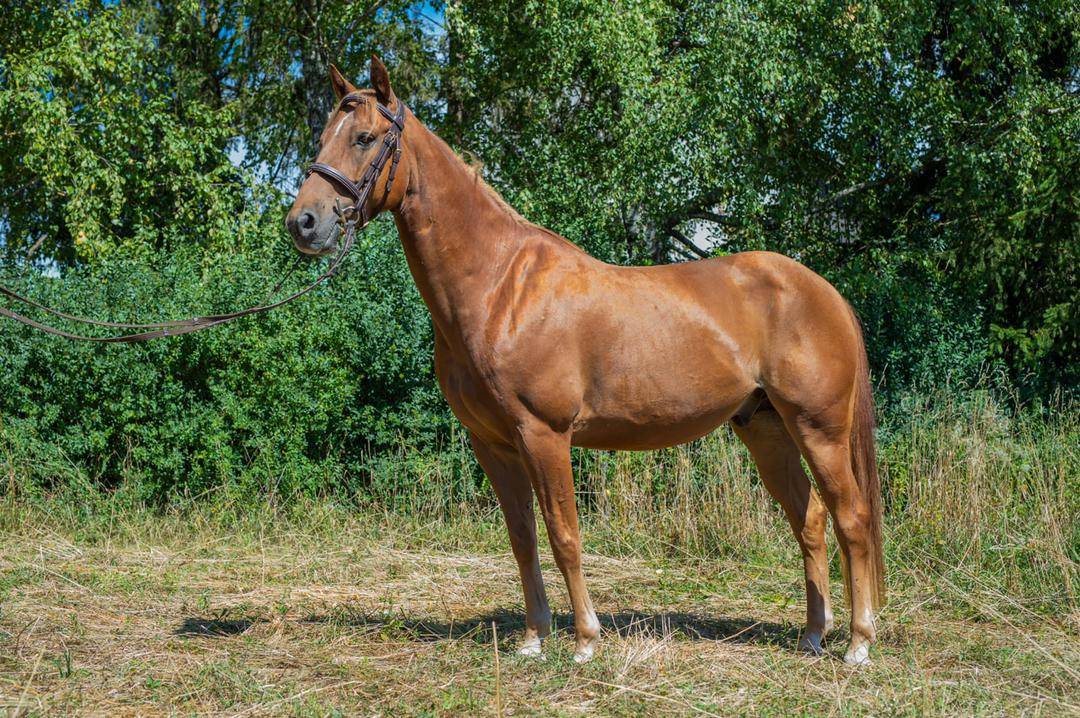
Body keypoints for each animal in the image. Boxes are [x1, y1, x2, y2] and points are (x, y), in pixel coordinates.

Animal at [286, 56, 885, 665]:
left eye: (364, 137)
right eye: (323, 136)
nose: (303, 223)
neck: (500, 287)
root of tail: (825, 292)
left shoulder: (544, 434)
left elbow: (563, 533)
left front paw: (584, 640)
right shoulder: (493, 443)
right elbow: (523, 537)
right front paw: (533, 638)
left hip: (819, 429)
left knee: (852, 519)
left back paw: (858, 643)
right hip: (767, 428)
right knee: (809, 519)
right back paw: (812, 634)